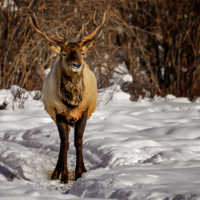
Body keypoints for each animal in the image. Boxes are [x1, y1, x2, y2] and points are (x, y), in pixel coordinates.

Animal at [29, 12, 106, 184]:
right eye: (63, 54)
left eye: (82, 53)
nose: (77, 64)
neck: (71, 102)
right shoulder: (59, 113)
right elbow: (64, 143)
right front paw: (64, 176)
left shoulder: (84, 111)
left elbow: (79, 141)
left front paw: (79, 173)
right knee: (62, 141)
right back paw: (55, 173)